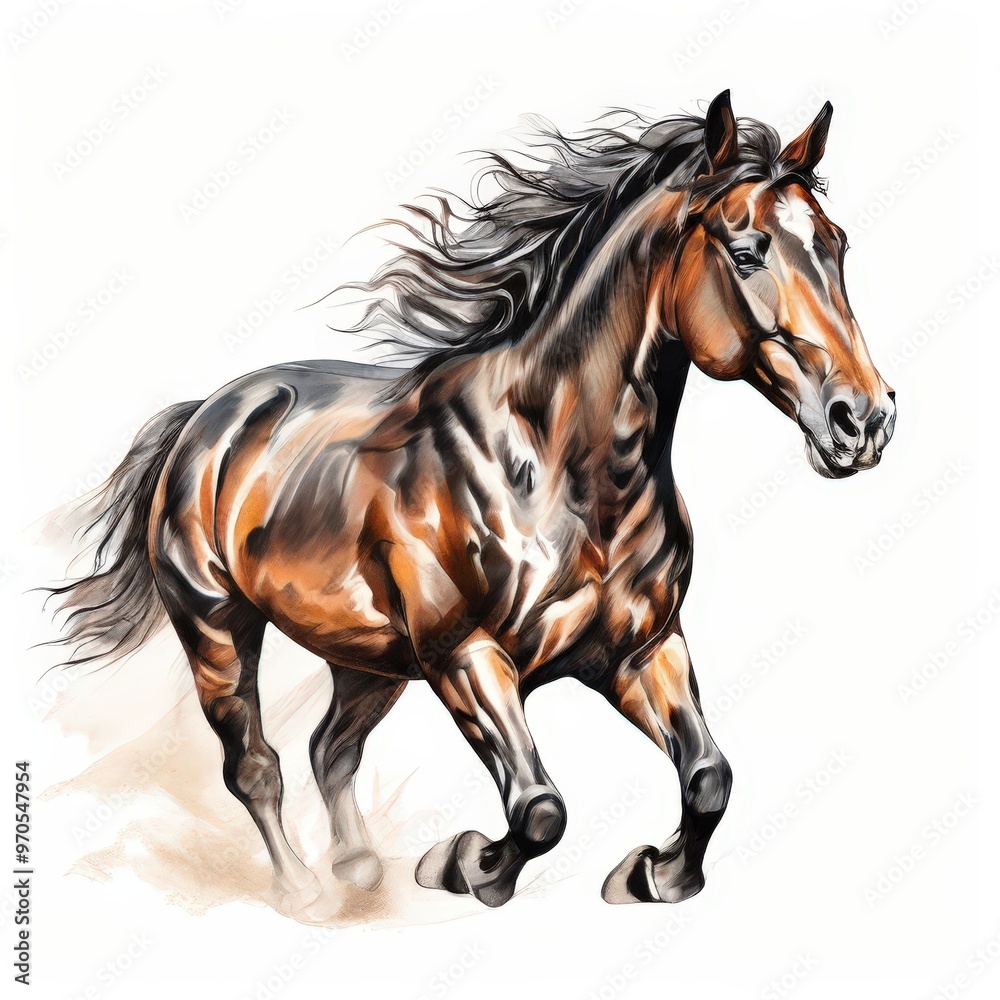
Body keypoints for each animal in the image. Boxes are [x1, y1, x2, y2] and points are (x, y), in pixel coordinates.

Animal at [50, 91, 896, 911]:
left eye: (838, 244)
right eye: (748, 250)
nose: (864, 419)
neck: (562, 473)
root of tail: (207, 416)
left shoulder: (642, 650)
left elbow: (709, 777)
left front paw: (653, 876)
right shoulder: (467, 655)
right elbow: (540, 809)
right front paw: (463, 865)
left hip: (370, 660)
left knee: (332, 748)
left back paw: (359, 869)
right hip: (218, 630)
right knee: (255, 765)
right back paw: (303, 890)